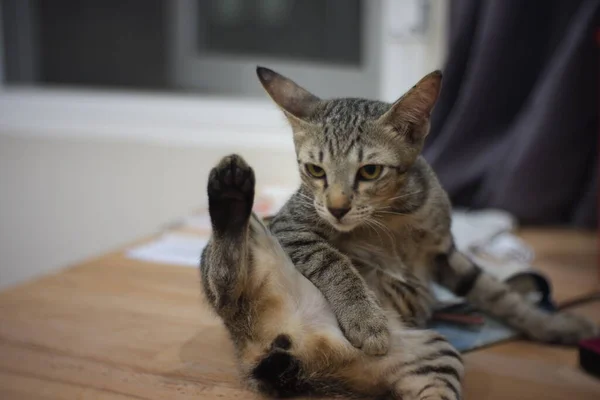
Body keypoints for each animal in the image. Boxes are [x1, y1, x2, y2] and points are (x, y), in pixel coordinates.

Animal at [258, 66, 600, 356]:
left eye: (370, 171)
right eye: (316, 170)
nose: (337, 208)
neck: (393, 217)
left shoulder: (444, 252)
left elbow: (495, 293)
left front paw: (551, 325)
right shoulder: (288, 225)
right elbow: (332, 261)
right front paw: (366, 319)